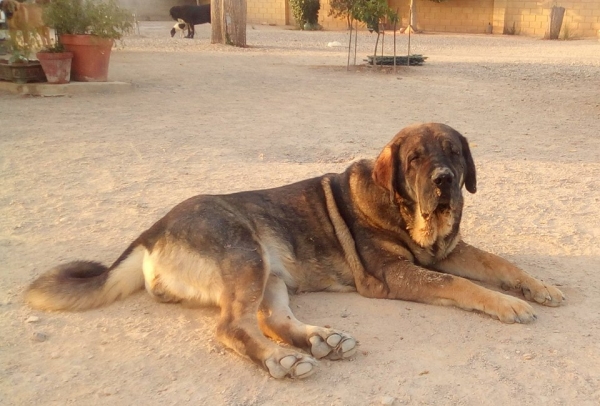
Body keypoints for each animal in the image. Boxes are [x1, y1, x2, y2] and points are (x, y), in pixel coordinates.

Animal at [24, 122, 568, 380]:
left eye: (454, 152)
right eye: (416, 158)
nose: (445, 181)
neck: (405, 210)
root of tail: (151, 233)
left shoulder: (446, 252)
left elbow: (497, 262)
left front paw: (538, 287)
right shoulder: (396, 275)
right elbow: (462, 284)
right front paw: (509, 304)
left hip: (270, 274)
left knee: (269, 320)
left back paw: (322, 341)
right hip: (245, 255)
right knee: (232, 327)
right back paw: (284, 362)